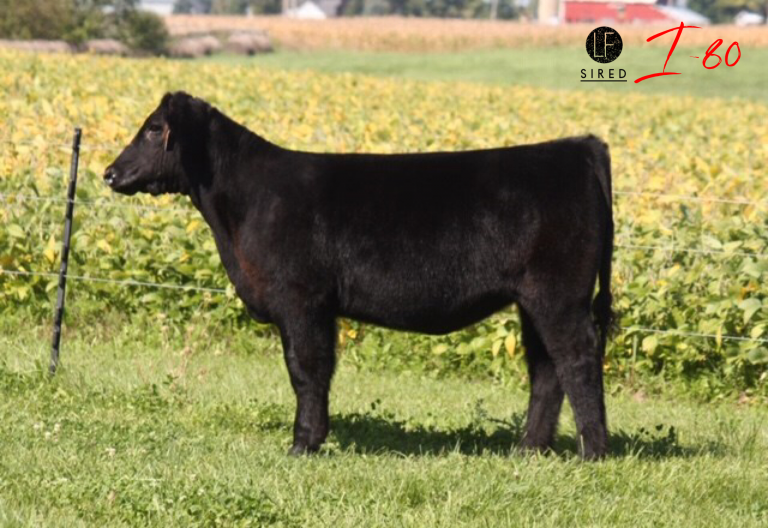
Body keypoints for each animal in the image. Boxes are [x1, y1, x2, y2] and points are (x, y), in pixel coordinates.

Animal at [104, 92, 615, 459]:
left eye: (154, 129)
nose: (110, 173)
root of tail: (577, 146)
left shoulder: (302, 300)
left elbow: (306, 370)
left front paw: (303, 443)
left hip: (559, 294)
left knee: (577, 358)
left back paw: (593, 451)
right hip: (532, 299)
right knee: (546, 367)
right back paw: (529, 449)